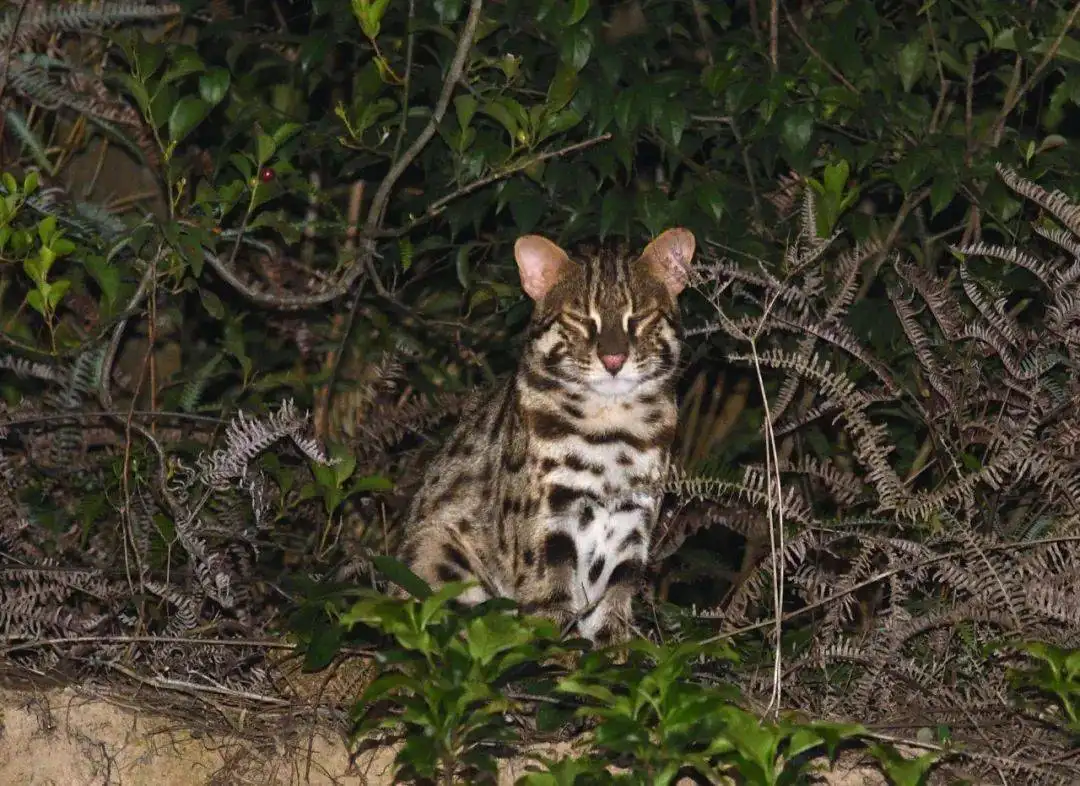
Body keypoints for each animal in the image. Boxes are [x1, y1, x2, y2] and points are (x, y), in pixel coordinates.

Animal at [395, 226, 691, 643]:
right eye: (581, 319)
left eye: (640, 318)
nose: (613, 360)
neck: (612, 425)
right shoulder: (549, 512)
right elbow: (549, 590)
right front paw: (556, 647)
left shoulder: (635, 517)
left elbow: (615, 594)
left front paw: (613, 646)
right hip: (433, 548)